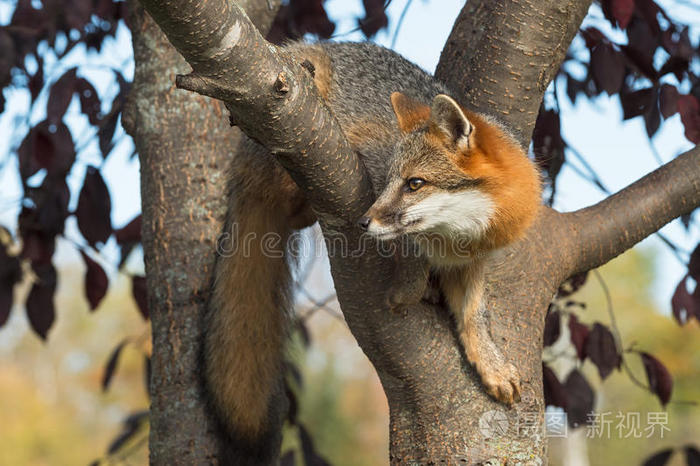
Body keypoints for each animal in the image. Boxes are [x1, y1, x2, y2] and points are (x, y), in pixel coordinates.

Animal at [202, 41, 540, 462]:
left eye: (415, 184)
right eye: (394, 180)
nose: (363, 221)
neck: (454, 239)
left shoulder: (474, 259)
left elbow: (474, 314)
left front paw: (491, 365)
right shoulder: (370, 163)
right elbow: (410, 254)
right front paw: (408, 289)